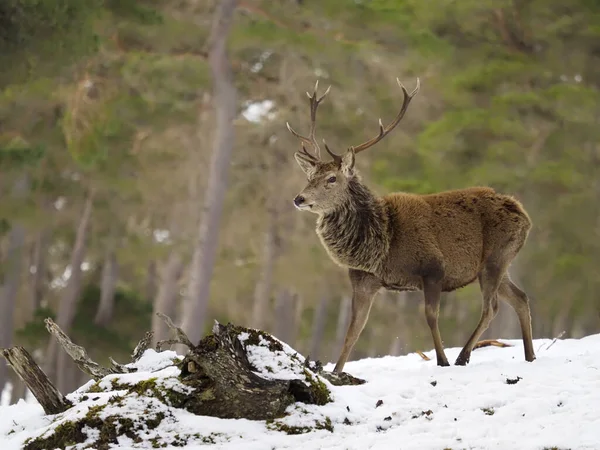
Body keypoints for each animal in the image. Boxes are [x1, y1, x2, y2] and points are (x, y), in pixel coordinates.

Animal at [288, 77, 536, 372]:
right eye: (310, 177)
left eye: (332, 179)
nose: (299, 198)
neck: (381, 243)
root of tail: (523, 213)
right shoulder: (363, 280)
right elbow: (354, 330)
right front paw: (336, 372)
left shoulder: (433, 267)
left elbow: (430, 315)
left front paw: (442, 360)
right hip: (499, 262)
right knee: (521, 298)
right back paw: (530, 356)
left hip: (496, 256)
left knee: (492, 306)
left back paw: (463, 355)